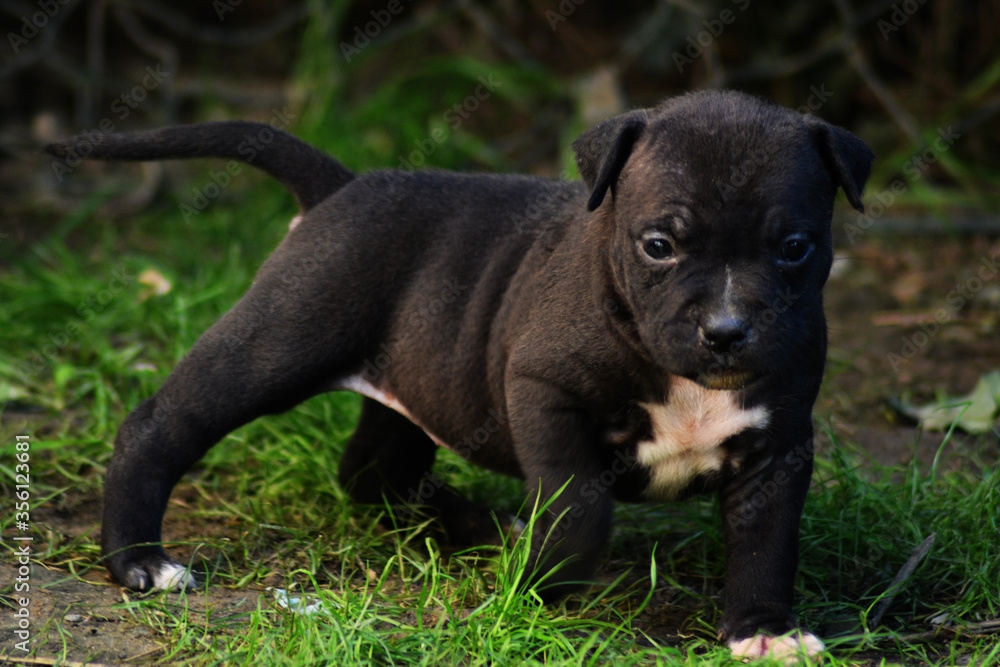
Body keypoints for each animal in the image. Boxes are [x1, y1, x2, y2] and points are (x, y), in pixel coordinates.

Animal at [47, 91, 872, 660]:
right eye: (659, 244)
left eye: (795, 246)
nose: (727, 331)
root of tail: (341, 186)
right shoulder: (544, 392)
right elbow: (578, 505)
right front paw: (543, 583)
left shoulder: (777, 447)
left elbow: (766, 541)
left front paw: (763, 630)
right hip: (279, 342)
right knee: (164, 424)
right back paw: (139, 558)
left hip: (413, 381)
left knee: (373, 467)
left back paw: (480, 524)